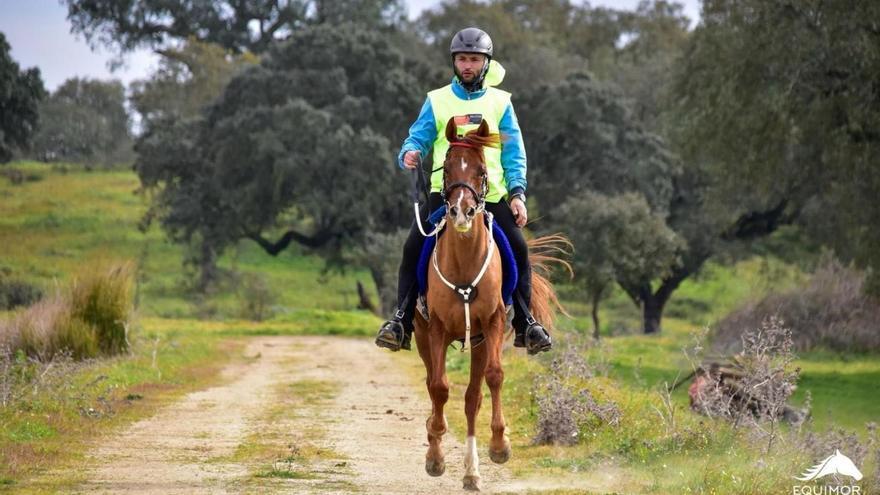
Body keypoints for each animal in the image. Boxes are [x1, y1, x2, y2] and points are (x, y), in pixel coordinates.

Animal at [416, 116, 568, 492]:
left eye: (483, 171)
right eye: (447, 168)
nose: (461, 211)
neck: (464, 263)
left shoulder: (493, 323)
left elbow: (495, 378)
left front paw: (500, 446)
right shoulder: (437, 328)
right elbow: (439, 387)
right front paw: (436, 452)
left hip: (479, 342)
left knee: (473, 398)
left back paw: (472, 472)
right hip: (424, 336)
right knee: (433, 385)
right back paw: (437, 446)